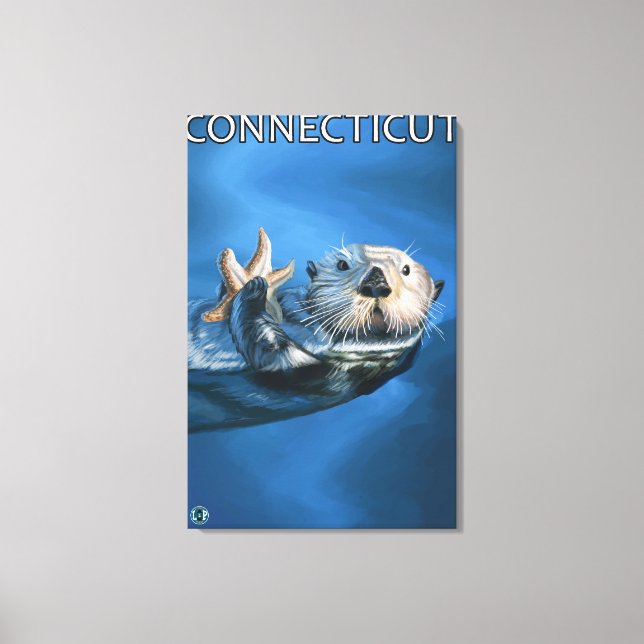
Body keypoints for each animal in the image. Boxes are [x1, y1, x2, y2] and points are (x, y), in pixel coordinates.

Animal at [188, 239, 444, 431]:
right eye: (342, 265)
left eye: (406, 270)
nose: (376, 283)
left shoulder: (324, 375)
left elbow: (274, 355)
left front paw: (254, 287)